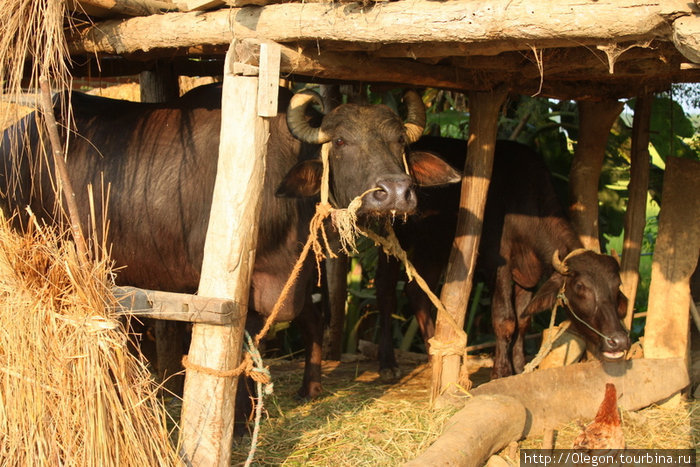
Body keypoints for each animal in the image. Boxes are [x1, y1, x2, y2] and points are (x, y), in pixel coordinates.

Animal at [380, 136, 632, 380]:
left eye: (616, 286)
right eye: (580, 287)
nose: (618, 340)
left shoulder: (529, 276)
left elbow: (523, 321)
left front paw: (519, 368)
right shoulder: (498, 266)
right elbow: (505, 320)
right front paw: (500, 372)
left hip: (433, 247)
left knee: (416, 292)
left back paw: (435, 359)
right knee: (387, 292)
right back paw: (389, 365)